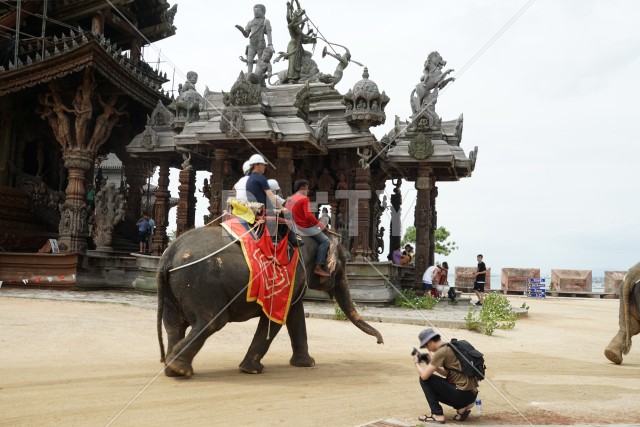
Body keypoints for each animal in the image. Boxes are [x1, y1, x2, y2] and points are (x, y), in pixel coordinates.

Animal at [157, 224, 382, 378]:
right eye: (343, 265)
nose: (380, 342)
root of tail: (169, 254)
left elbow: (295, 315)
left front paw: (306, 364)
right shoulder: (290, 277)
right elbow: (276, 319)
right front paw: (252, 370)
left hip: (174, 289)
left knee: (173, 325)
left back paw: (170, 369)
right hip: (201, 284)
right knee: (211, 322)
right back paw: (179, 368)